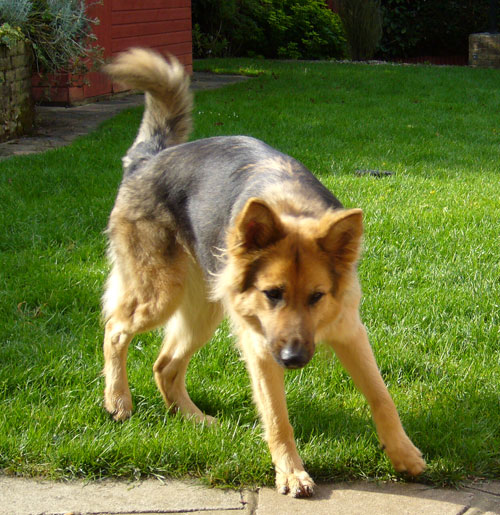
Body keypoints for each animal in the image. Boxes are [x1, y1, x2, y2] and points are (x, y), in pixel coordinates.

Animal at [101, 49, 426, 500]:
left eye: (317, 296)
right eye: (272, 293)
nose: (293, 360)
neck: (292, 208)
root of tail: (149, 160)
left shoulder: (350, 332)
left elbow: (382, 397)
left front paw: (403, 453)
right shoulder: (260, 347)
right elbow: (277, 417)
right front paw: (290, 473)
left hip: (204, 312)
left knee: (165, 365)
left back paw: (195, 419)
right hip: (160, 295)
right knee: (115, 329)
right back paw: (118, 401)